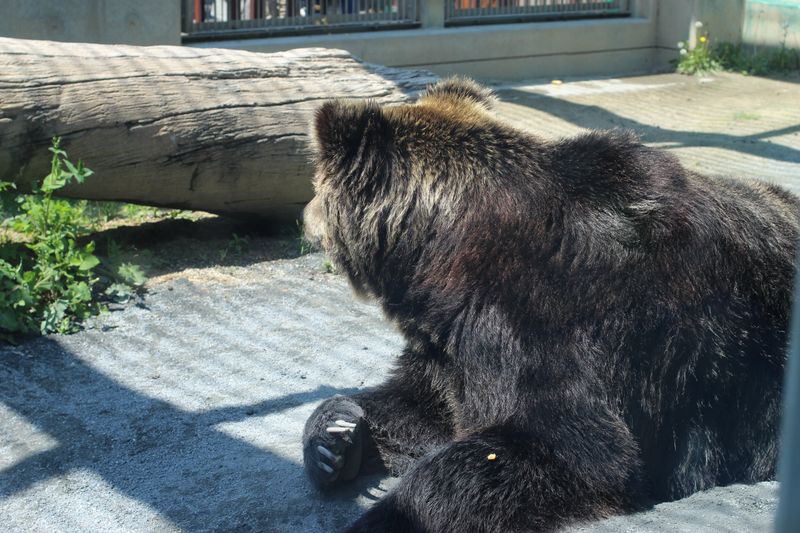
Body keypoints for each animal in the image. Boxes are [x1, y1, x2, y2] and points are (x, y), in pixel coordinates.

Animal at [300, 78, 797, 532]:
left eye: (315, 186)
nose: (304, 217)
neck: (444, 263)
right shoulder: (456, 349)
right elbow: (422, 404)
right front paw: (335, 436)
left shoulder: (550, 323)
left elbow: (568, 448)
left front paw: (389, 515)